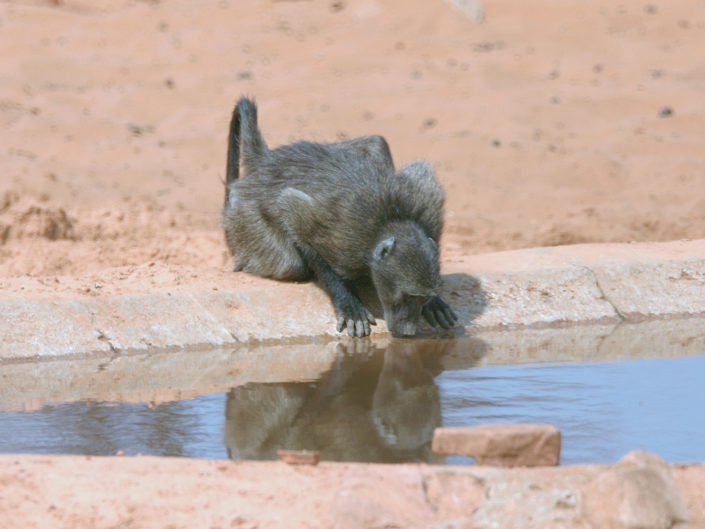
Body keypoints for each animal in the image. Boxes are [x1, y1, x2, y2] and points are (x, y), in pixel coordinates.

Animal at [223, 97, 458, 338]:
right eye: (408, 297)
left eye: (421, 298)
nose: (408, 332)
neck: (391, 220)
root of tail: (265, 160)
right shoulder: (345, 240)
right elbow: (293, 214)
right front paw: (349, 303)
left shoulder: (429, 205)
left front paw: (435, 303)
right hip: (244, 216)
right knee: (290, 265)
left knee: (377, 142)